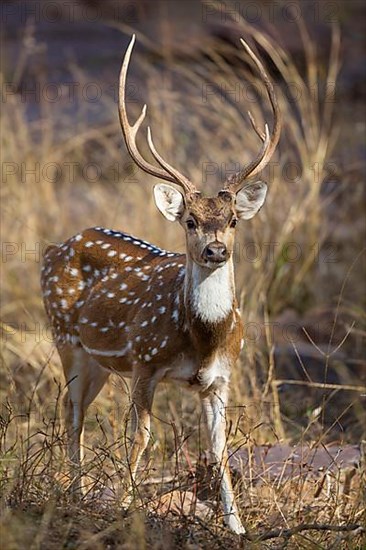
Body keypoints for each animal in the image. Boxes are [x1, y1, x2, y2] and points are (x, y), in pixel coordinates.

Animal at [40, 34, 280, 536]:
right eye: (189, 220)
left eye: (232, 220)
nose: (215, 250)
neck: (202, 339)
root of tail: (57, 247)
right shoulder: (145, 363)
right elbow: (142, 438)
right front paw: (125, 507)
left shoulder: (221, 379)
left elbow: (220, 449)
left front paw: (237, 527)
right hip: (66, 337)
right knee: (72, 413)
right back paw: (75, 496)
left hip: (98, 361)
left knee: (77, 411)